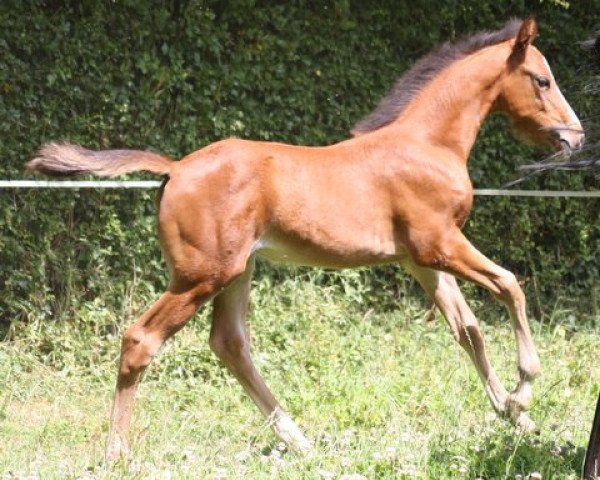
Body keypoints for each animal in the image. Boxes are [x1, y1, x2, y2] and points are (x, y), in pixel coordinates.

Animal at [25, 19, 584, 462]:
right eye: (543, 79)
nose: (574, 137)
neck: (427, 143)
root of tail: (176, 167)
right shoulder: (439, 244)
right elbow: (510, 285)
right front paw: (524, 393)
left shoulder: (419, 261)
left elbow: (468, 329)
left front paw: (517, 417)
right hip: (201, 276)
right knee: (141, 339)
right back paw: (117, 452)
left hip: (237, 272)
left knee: (229, 343)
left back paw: (298, 440)